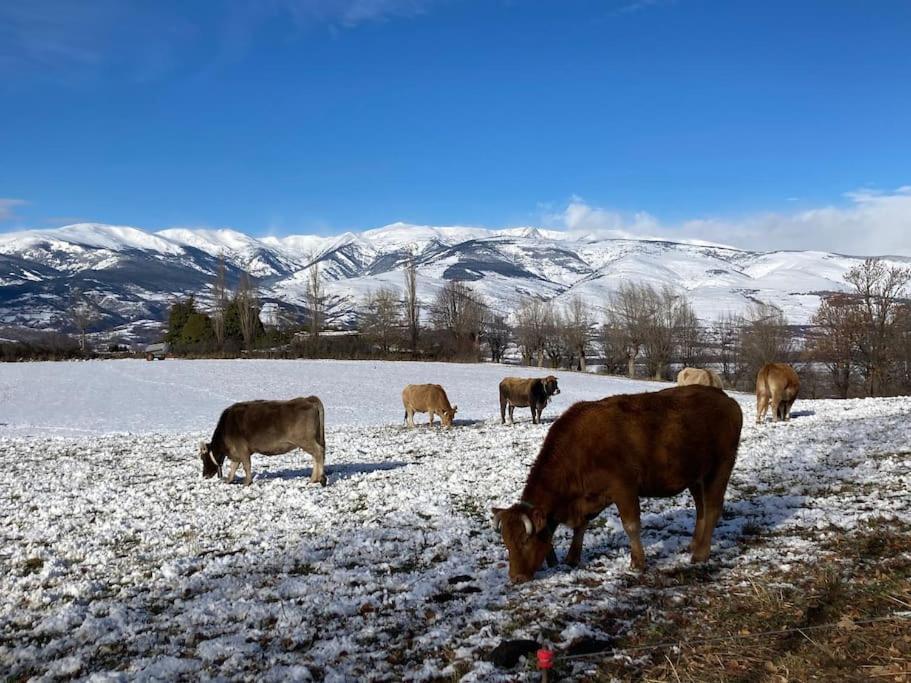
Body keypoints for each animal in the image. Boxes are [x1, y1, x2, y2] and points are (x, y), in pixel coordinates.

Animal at [200, 396, 328, 486]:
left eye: (203, 458)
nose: (204, 475)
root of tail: (308, 399)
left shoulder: (242, 449)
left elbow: (246, 465)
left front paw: (247, 482)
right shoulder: (237, 452)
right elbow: (233, 467)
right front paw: (228, 480)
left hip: (306, 440)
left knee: (319, 452)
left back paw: (317, 479)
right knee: (316, 456)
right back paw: (315, 479)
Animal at [492, 388, 740, 584]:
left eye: (525, 541)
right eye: (506, 542)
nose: (515, 577)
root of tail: (725, 398)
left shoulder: (624, 489)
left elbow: (631, 525)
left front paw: (637, 562)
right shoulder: (592, 496)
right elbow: (581, 526)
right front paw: (572, 557)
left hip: (720, 468)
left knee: (713, 508)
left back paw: (700, 554)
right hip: (696, 477)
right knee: (702, 509)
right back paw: (694, 544)